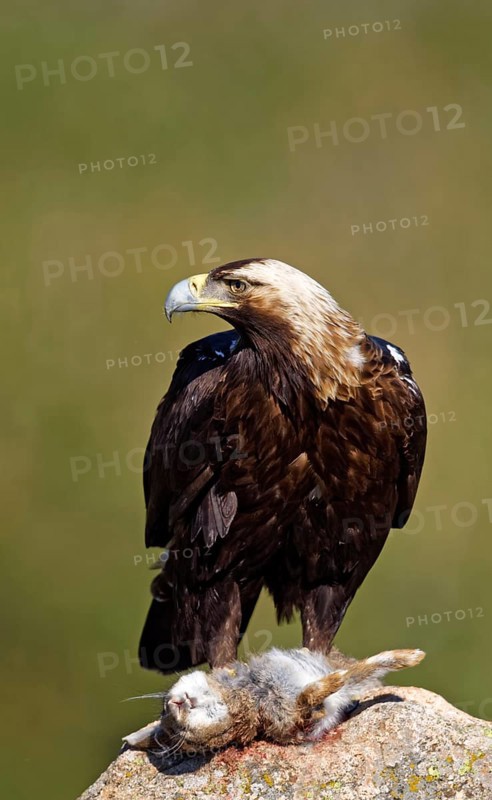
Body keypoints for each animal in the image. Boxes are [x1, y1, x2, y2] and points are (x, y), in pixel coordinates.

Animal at [123, 645, 425, 755]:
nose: (178, 705)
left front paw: (412, 655)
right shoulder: (294, 716)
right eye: (183, 736)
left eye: (164, 709)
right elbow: (317, 694)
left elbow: (365, 667)